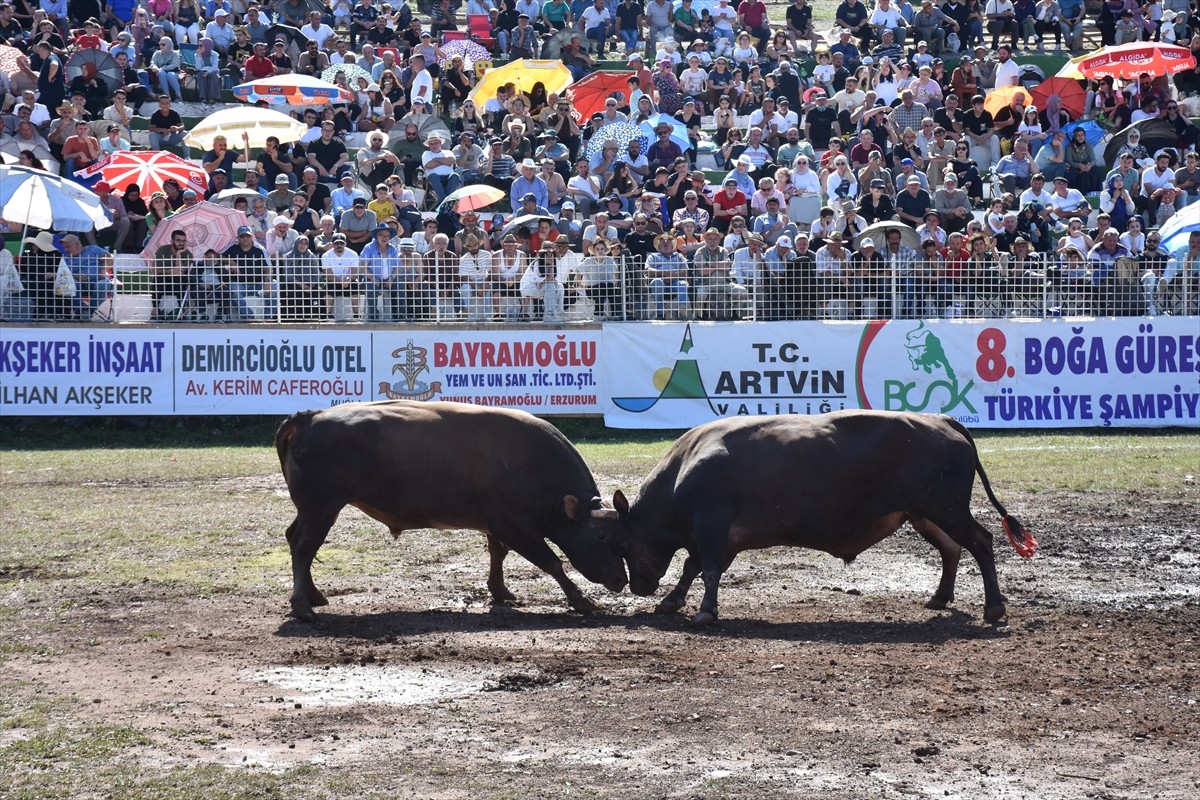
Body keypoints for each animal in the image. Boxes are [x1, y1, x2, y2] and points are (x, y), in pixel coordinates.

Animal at [614, 412, 1036, 623]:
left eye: (626, 542)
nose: (635, 586)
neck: (685, 467)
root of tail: (943, 420)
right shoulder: (723, 537)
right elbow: (693, 565)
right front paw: (672, 601)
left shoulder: (712, 525)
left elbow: (707, 568)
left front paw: (704, 610)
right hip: (925, 514)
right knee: (952, 549)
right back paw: (939, 598)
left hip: (946, 509)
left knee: (980, 541)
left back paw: (994, 608)